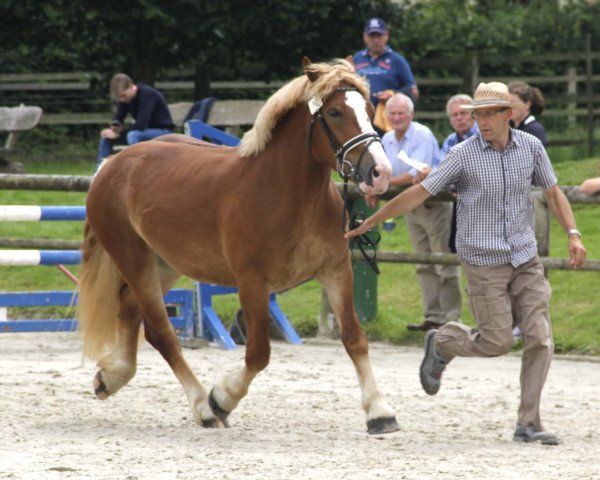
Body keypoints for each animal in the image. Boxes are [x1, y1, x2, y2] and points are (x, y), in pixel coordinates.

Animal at [77, 57, 400, 436]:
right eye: (335, 112)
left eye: (369, 110)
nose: (380, 173)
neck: (287, 194)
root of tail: (110, 166)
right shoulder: (253, 284)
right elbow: (258, 353)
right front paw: (222, 398)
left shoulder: (336, 272)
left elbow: (354, 338)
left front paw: (379, 412)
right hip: (135, 259)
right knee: (161, 332)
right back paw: (202, 406)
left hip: (165, 264)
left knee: (129, 307)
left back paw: (111, 377)